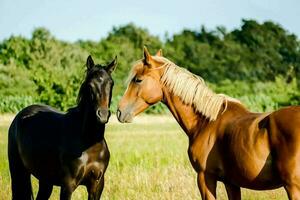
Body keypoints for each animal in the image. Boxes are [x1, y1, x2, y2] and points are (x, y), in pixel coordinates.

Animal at [8, 55, 116, 200]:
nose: (103, 115)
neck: (88, 142)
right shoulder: (67, 186)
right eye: (90, 85)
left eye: (111, 83)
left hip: (45, 180)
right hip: (18, 173)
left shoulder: (97, 186)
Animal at [118, 46, 300, 198]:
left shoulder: (205, 178)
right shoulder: (231, 183)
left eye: (138, 80)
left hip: (293, 187)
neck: (206, 122)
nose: (120, 111)